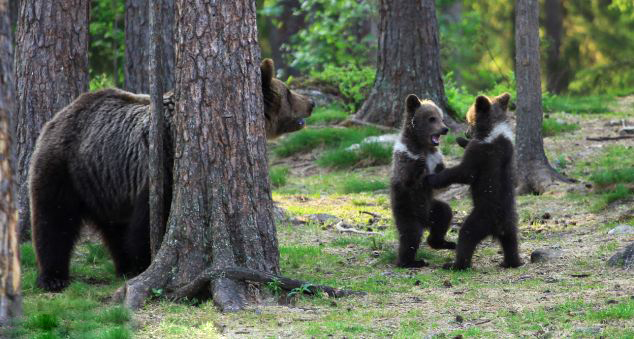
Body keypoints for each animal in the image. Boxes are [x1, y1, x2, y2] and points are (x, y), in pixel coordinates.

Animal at [30, 58, 312, 292]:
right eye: (288, 91)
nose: (311, 103)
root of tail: (60, 114)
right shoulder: (161, 168)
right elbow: (147, 223)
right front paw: (145, 262)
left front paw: (137, 264)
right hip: (65, 167)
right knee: (54, 219)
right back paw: (53, 277)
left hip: (105, 181)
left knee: (113, 227)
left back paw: (123, 266)